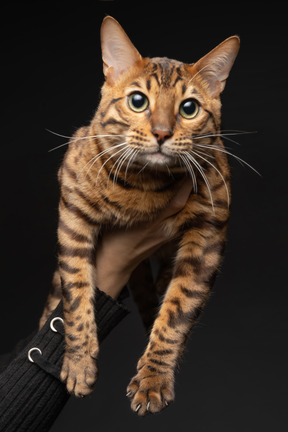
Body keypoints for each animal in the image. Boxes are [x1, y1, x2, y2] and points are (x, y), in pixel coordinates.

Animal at [39, 16, 240, 416]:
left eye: (189, 108)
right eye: (137, 101)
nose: (162, 133)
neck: (145, 187)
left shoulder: (209, 229)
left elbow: (177, 313)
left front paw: (153, 380)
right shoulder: (72, 212)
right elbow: (76, 292)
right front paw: (79, 362)